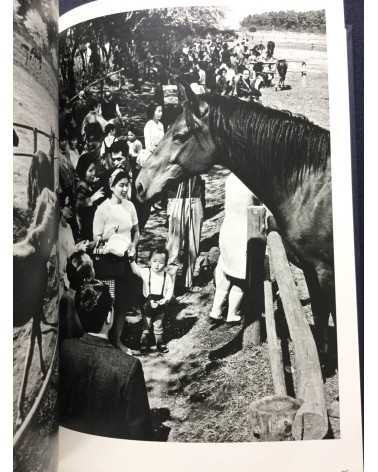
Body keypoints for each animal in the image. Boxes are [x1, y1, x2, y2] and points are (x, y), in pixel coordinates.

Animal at [135, 82, 334, 366]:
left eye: (180, 136)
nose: (140, 184)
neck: (310, 186)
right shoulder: (311, 270)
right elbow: (320, 317)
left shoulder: (326, 273)